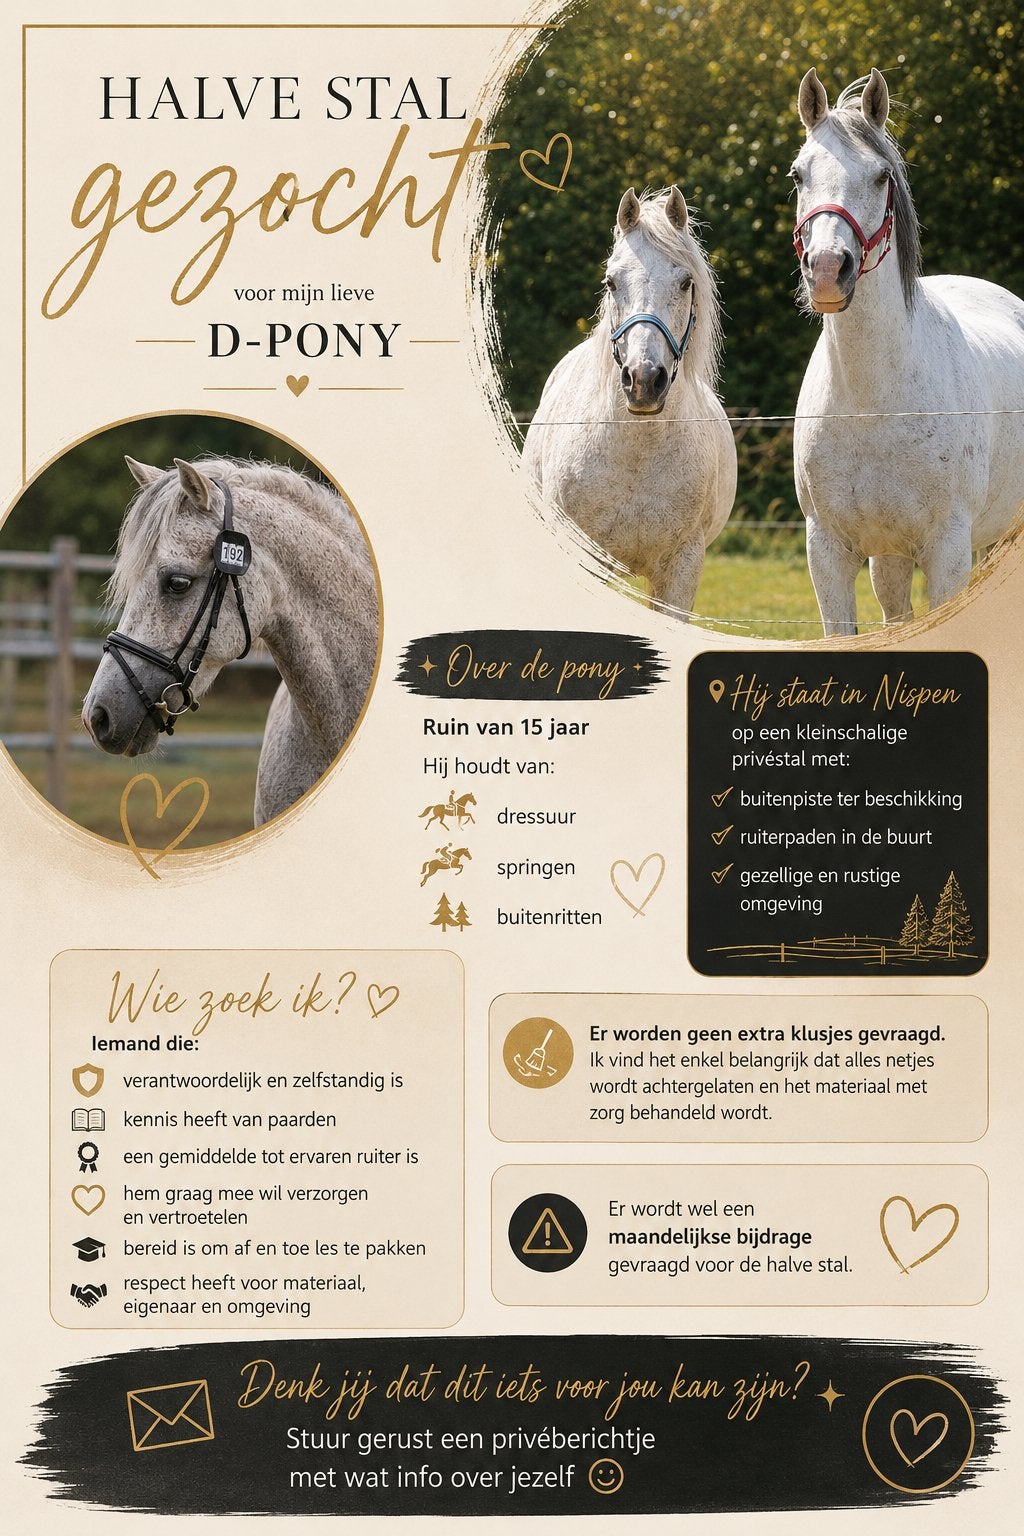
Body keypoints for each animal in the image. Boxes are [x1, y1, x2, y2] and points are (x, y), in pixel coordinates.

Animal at [791, 67, 1024, 635]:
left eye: (881, 177)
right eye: (798, 175)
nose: (826, 269)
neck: (873, 402)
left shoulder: (946, 555)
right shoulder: (830, 554)